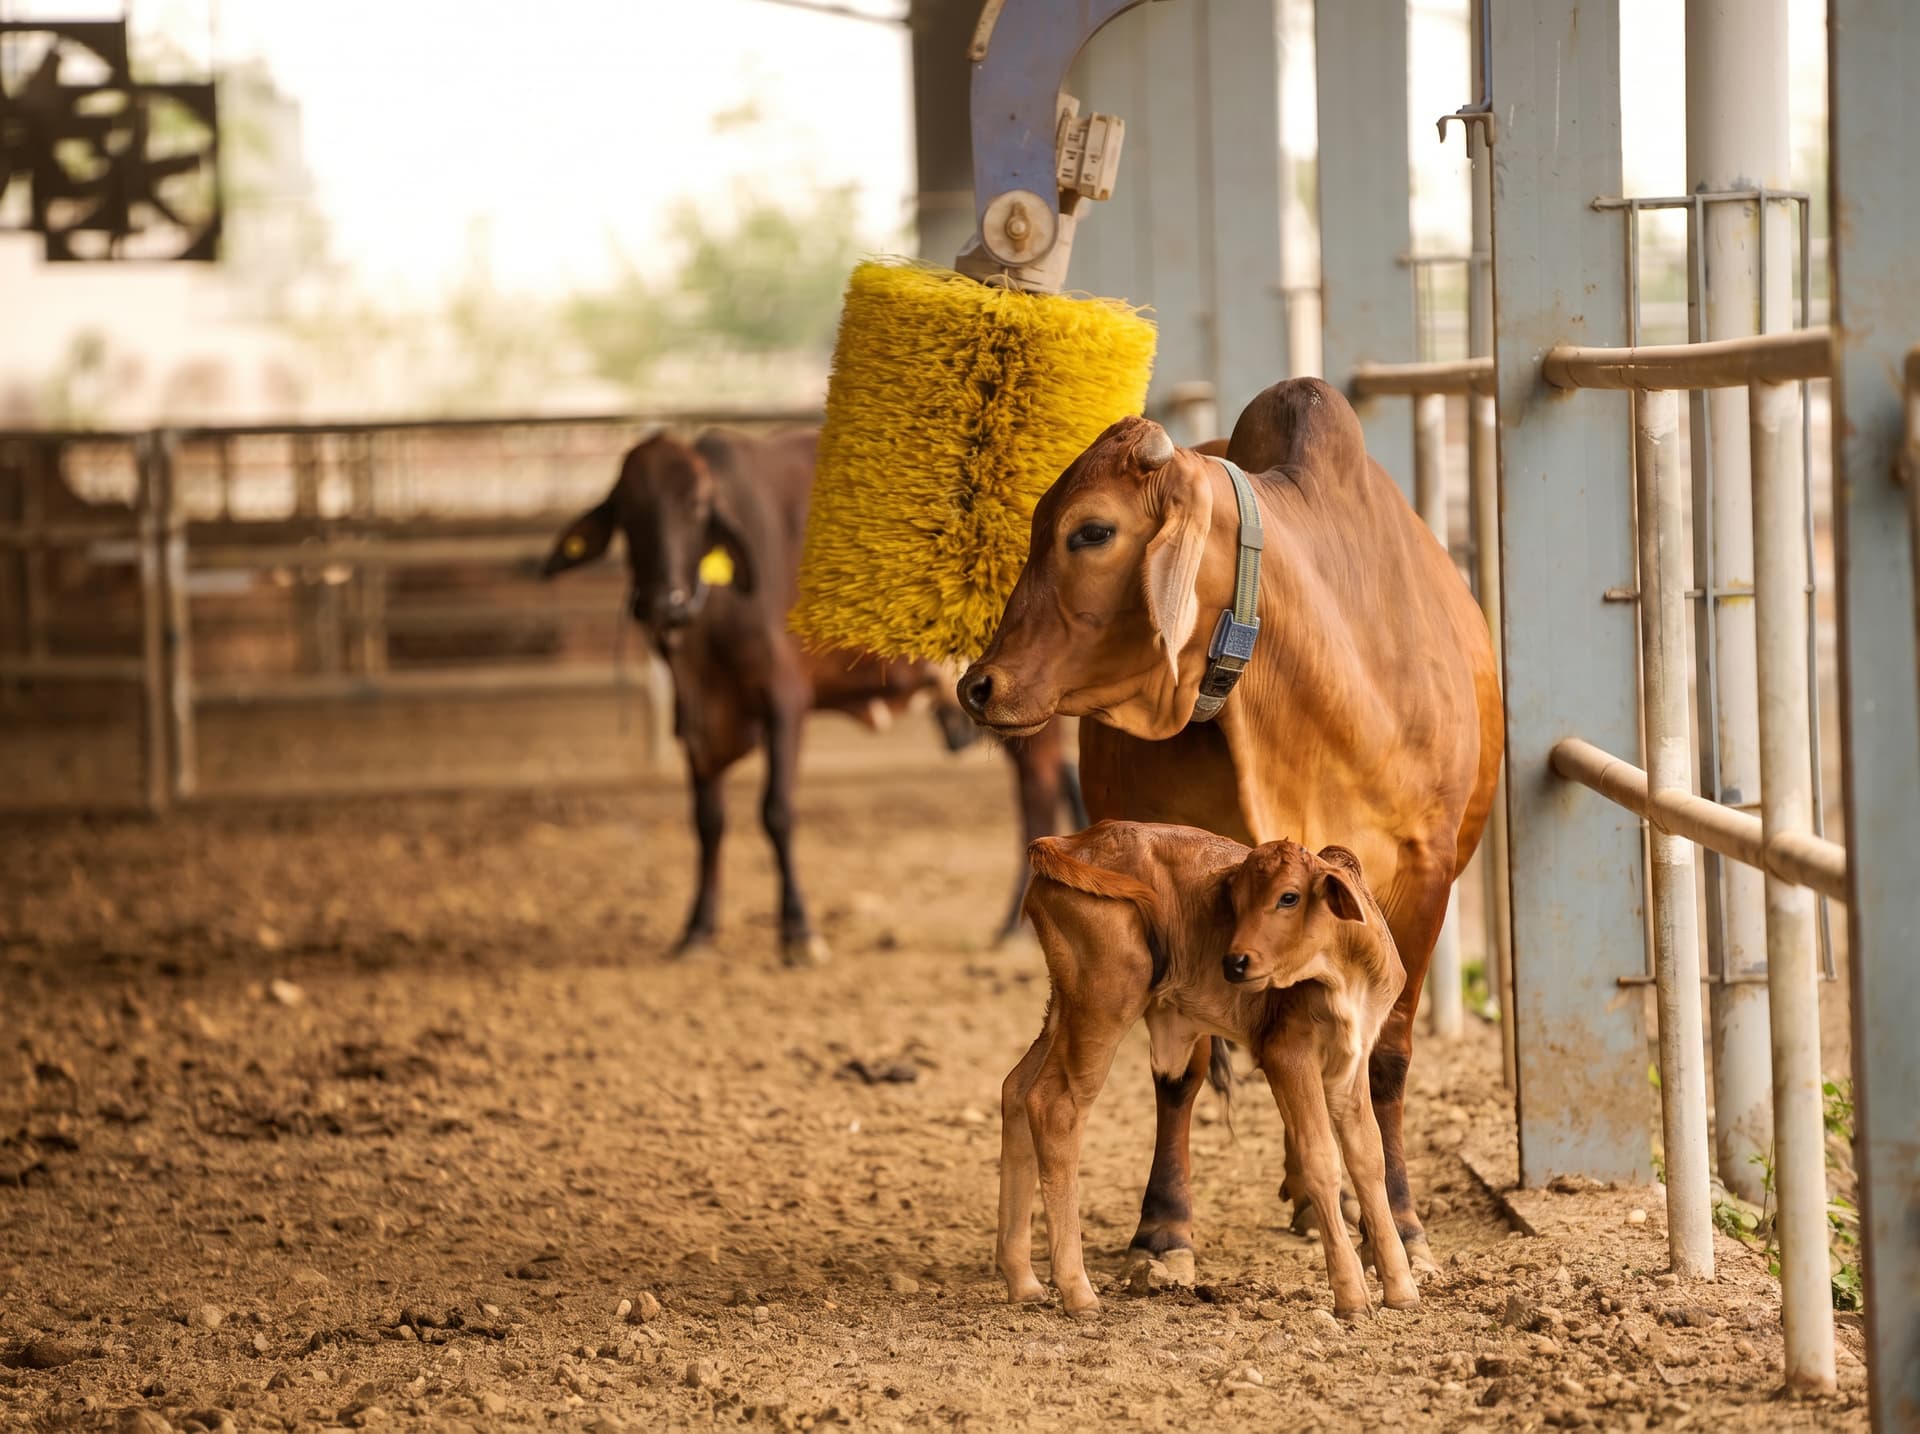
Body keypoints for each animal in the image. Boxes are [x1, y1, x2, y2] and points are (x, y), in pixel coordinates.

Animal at [543, 427, 1083, 965]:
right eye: (627, 510)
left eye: (696, 506)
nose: (664, 604)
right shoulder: (696, 720)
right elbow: (707, 820)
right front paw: (697, 929)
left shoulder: (784, 702)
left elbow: (776, 811)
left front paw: (798, 930)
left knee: (1037, 786)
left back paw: (1013, 927)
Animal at [999, 821, 1418, 1319]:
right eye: (1234, 901)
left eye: (1289, 897)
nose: (1234, 962)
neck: (1345, 970)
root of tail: (1070, 841)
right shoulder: (1287, 1053)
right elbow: (1321, 1160)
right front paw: (1352, 1295)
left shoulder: (1351, 1062)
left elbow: (1368, 1158)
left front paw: (1401, 1287)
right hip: (1102, 1005)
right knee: (1055, 1105)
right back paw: (1077, 1290)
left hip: (1065, 1007)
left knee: (1017, 1089)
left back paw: (1022, 1280)